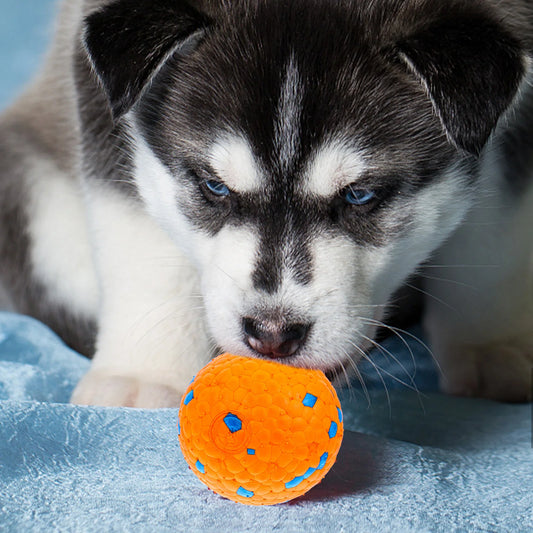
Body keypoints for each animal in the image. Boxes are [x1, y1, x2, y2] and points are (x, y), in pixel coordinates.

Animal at [1, 0, 532, 406]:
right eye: (214, 187)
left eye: (360, 195)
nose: (272, 335)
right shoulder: (100, 89)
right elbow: (136, 231)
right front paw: (143, 375)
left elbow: (498, 228)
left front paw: (492, 347)